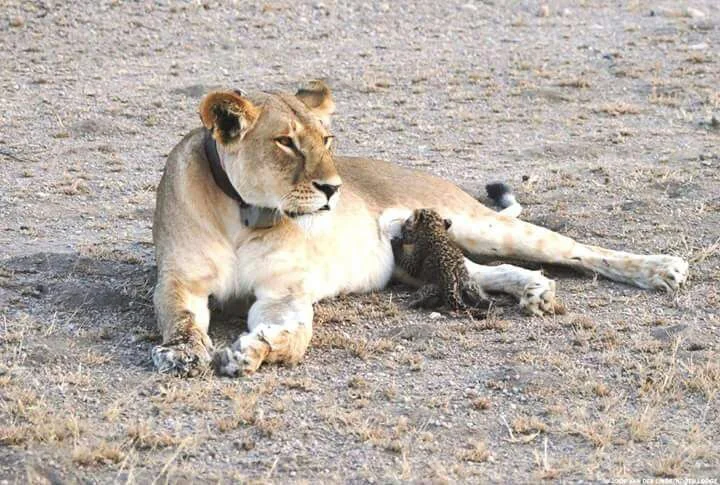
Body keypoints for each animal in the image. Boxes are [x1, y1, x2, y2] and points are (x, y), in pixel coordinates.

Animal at [151, 80, 689, 377]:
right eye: (285, 142)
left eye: (327, 139)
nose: (334, 189)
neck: (247, 214)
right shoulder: (178, 280)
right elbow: (180, 319)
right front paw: (182, 354)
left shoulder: (285, 292)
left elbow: (294, 337)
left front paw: (253, 351)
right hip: (416, 257)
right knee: (477, 271)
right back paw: (534, 290)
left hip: (476, 224)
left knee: (573, 249)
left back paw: (662, 268)